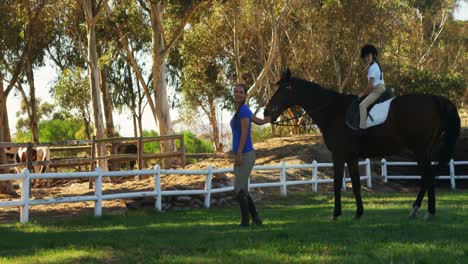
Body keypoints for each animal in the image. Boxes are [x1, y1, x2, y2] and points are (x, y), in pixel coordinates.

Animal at [264, 70, 460, 221]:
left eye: (286, 88)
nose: (266, 111)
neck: (333, 111)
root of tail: (435, 100)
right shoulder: (351, 157)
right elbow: (356, 184)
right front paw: (358, 213)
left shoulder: (338, 154)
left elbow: (337, 182)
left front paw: (336, 214)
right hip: (424, 151)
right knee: (428, 177)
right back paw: (417, 210)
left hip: (420, 151)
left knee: (428, 177)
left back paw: (426, 212)